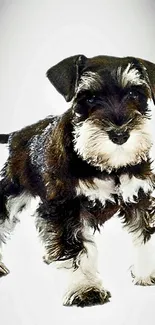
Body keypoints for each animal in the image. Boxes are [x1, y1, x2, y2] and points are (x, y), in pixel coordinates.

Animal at [0, 53, 155, 306]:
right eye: (90, 97)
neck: (106, 166)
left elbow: (147, 234)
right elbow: (76, 249)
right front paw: (85, 288)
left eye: (134, 93)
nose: (120, 134)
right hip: (13, 191)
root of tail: (18, 134)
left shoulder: (139, 196)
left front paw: (148, 273)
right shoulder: (65, 207)